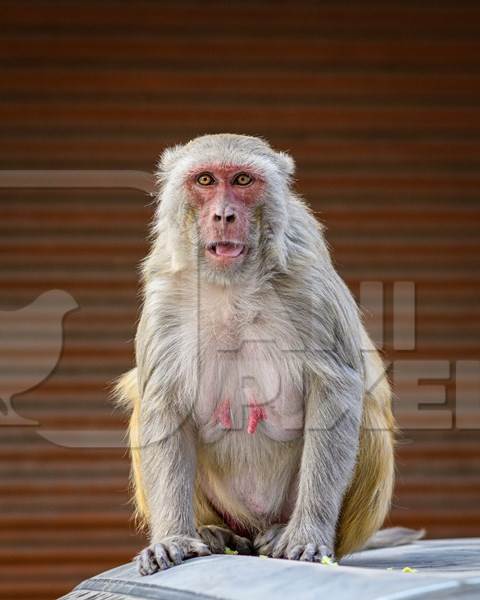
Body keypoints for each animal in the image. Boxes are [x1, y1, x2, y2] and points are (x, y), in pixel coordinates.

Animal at [114, 134, 418, 576]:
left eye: (242, 180)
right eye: (205, 180)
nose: (224, 215)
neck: (231, 287)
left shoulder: (308, 282)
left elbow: (337, 389)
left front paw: (307, 533)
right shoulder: (165, 294)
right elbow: (162, 404)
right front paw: (173, 538)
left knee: (365, 410)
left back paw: (281, 531)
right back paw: (212, 531)